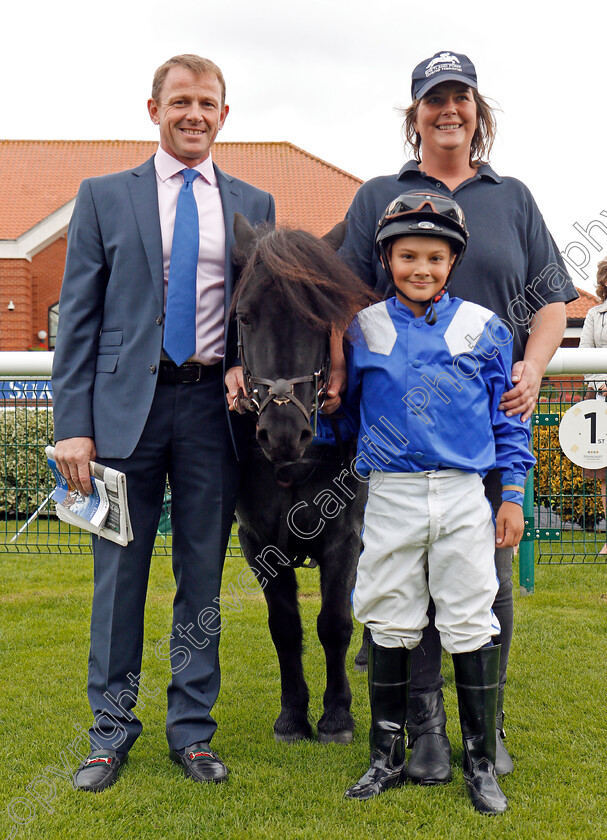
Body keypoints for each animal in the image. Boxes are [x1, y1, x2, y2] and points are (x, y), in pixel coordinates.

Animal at [230, 213, 368, 744]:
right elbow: (285, 627)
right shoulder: (258, 541)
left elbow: (334, 622)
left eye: (320, 320)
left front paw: (336, 715)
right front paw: (293, 714)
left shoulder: (344, 537)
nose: (284, 433)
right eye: (245, 317)